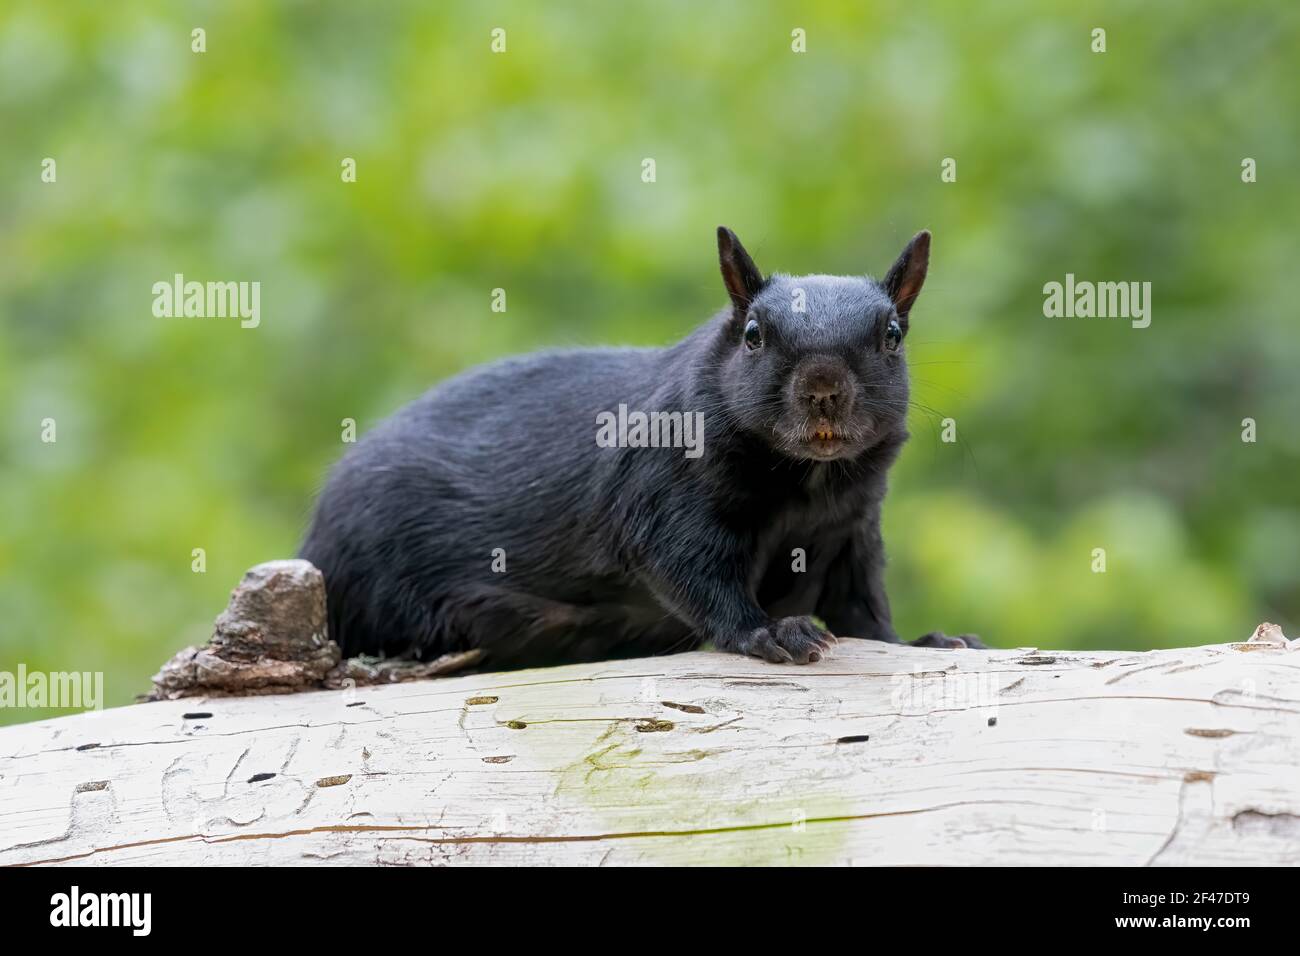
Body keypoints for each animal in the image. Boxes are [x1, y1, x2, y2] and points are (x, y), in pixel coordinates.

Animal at [299, 227, 983, 668]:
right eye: (753, 334)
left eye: (892, 335)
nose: (823, 389)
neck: (807, 483)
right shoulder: (660, 492)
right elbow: (692, 573)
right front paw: (769, 633)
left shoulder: (849, 529)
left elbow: (863, 609)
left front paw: (923, 642)